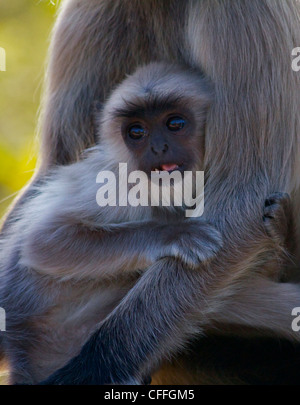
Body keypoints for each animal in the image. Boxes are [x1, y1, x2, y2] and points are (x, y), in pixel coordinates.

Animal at [0, 61, 223, 384]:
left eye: (175, 124)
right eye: (137, 131)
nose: (158, 147)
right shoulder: (116, 185)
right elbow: (41, 243)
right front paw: (174, 234)